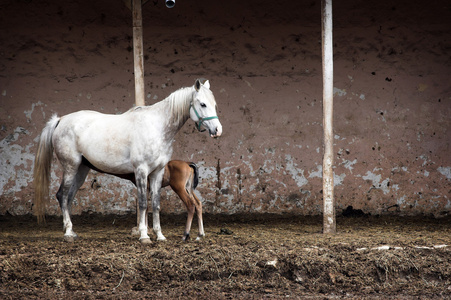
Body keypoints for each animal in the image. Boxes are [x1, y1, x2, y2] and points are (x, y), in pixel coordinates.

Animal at [34, 78, 222, 243]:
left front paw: (160, 236)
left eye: (214, 104)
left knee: (70, 197)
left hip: (81, 169)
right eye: (202, 104)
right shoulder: (141, 170)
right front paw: (144, 236)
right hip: (70, 166)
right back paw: (67, 233)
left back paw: (72, 231)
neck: (157, 127)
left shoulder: (157, 172)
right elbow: (143, 204)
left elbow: (156, 204)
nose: (217, 130)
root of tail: (60, 120)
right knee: (62, 195)